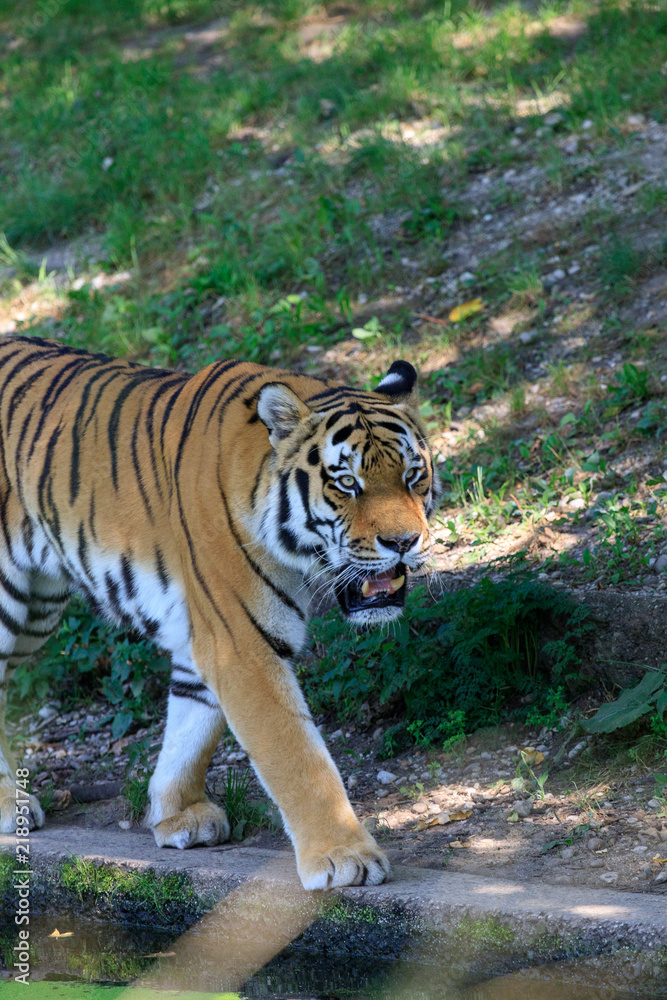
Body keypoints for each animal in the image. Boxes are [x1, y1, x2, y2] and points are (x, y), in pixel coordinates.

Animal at [0, 334, 438, 889]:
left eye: (413, 476)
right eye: (346, 484)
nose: (404, 542)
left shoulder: (204, 635)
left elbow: (192, 727)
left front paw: (178, 815)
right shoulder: (242, 643)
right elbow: (295, 755)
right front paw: (344, 857)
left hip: (38, 605)